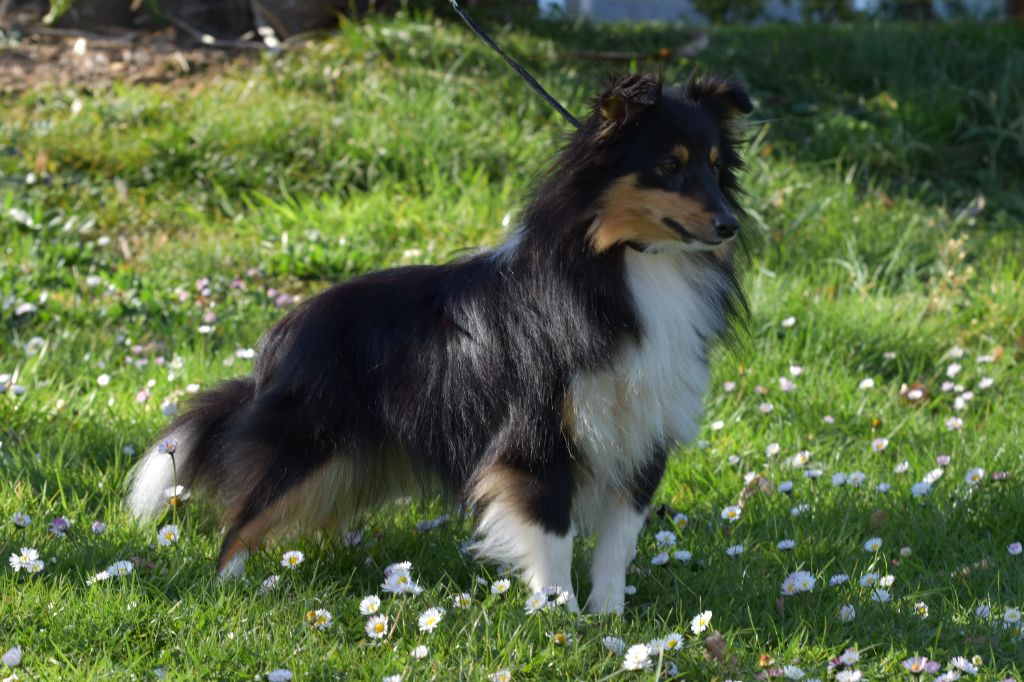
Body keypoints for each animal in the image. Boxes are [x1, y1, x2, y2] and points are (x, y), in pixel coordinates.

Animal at [128, 71, 753, 614]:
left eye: (715, 167)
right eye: (669, 167)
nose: (730, 225)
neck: (626, 265)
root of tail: (279, 342)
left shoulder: (642, 435)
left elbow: (617, 544)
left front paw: (610, 622)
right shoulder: (538, 438)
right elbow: (553, 535)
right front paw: (562, 618)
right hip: (307, 440)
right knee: (243, 517)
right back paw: (229, 585)